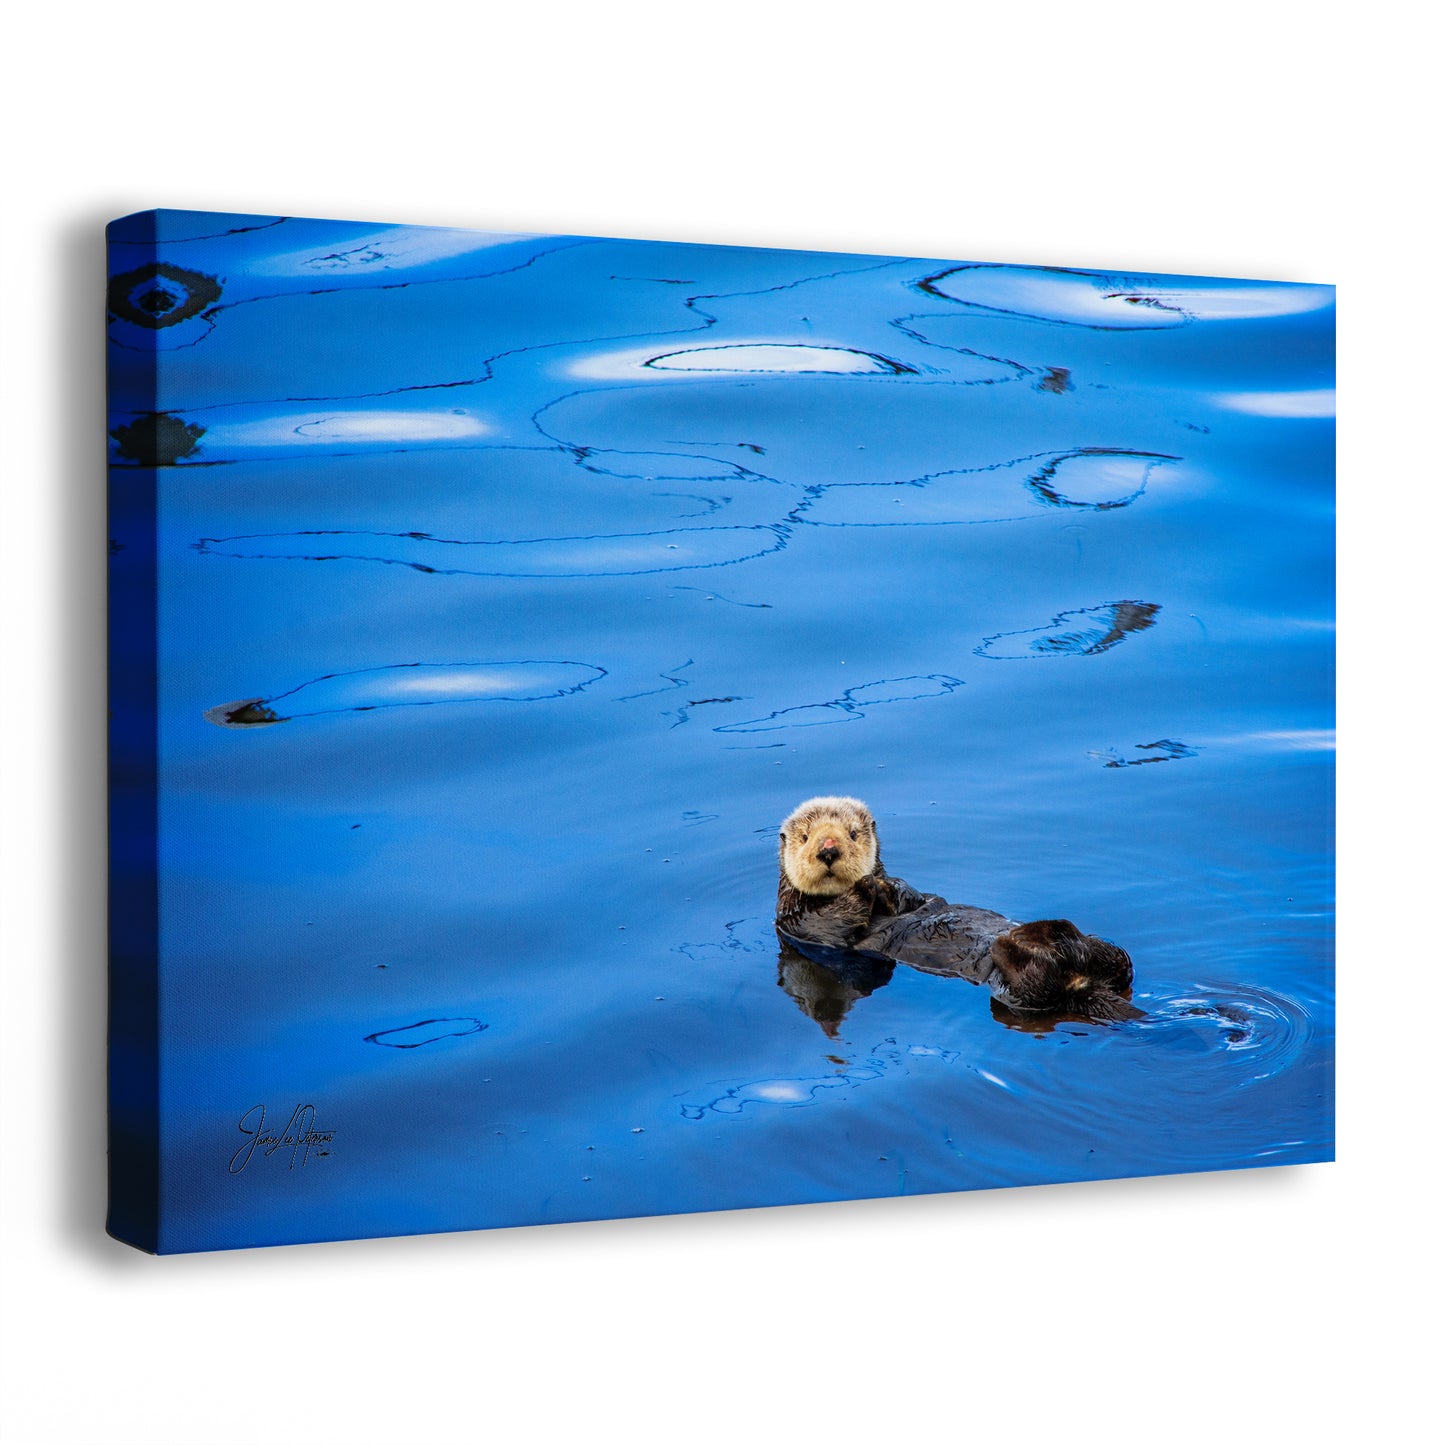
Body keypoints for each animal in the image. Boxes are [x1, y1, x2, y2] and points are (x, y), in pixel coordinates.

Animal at [775, 796, 1140, 1022]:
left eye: (852, 833)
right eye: (805, 837)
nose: (829, 849)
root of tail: (1080, 983)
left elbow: (915, 897)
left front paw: (889, 887)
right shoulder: (796, 923)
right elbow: (832, 922)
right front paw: (865, 886)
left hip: (1097, 961)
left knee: (1118, 961)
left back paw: (1047, 931)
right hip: (1019, 994)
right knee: (1038, 983)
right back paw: (1017, 944)